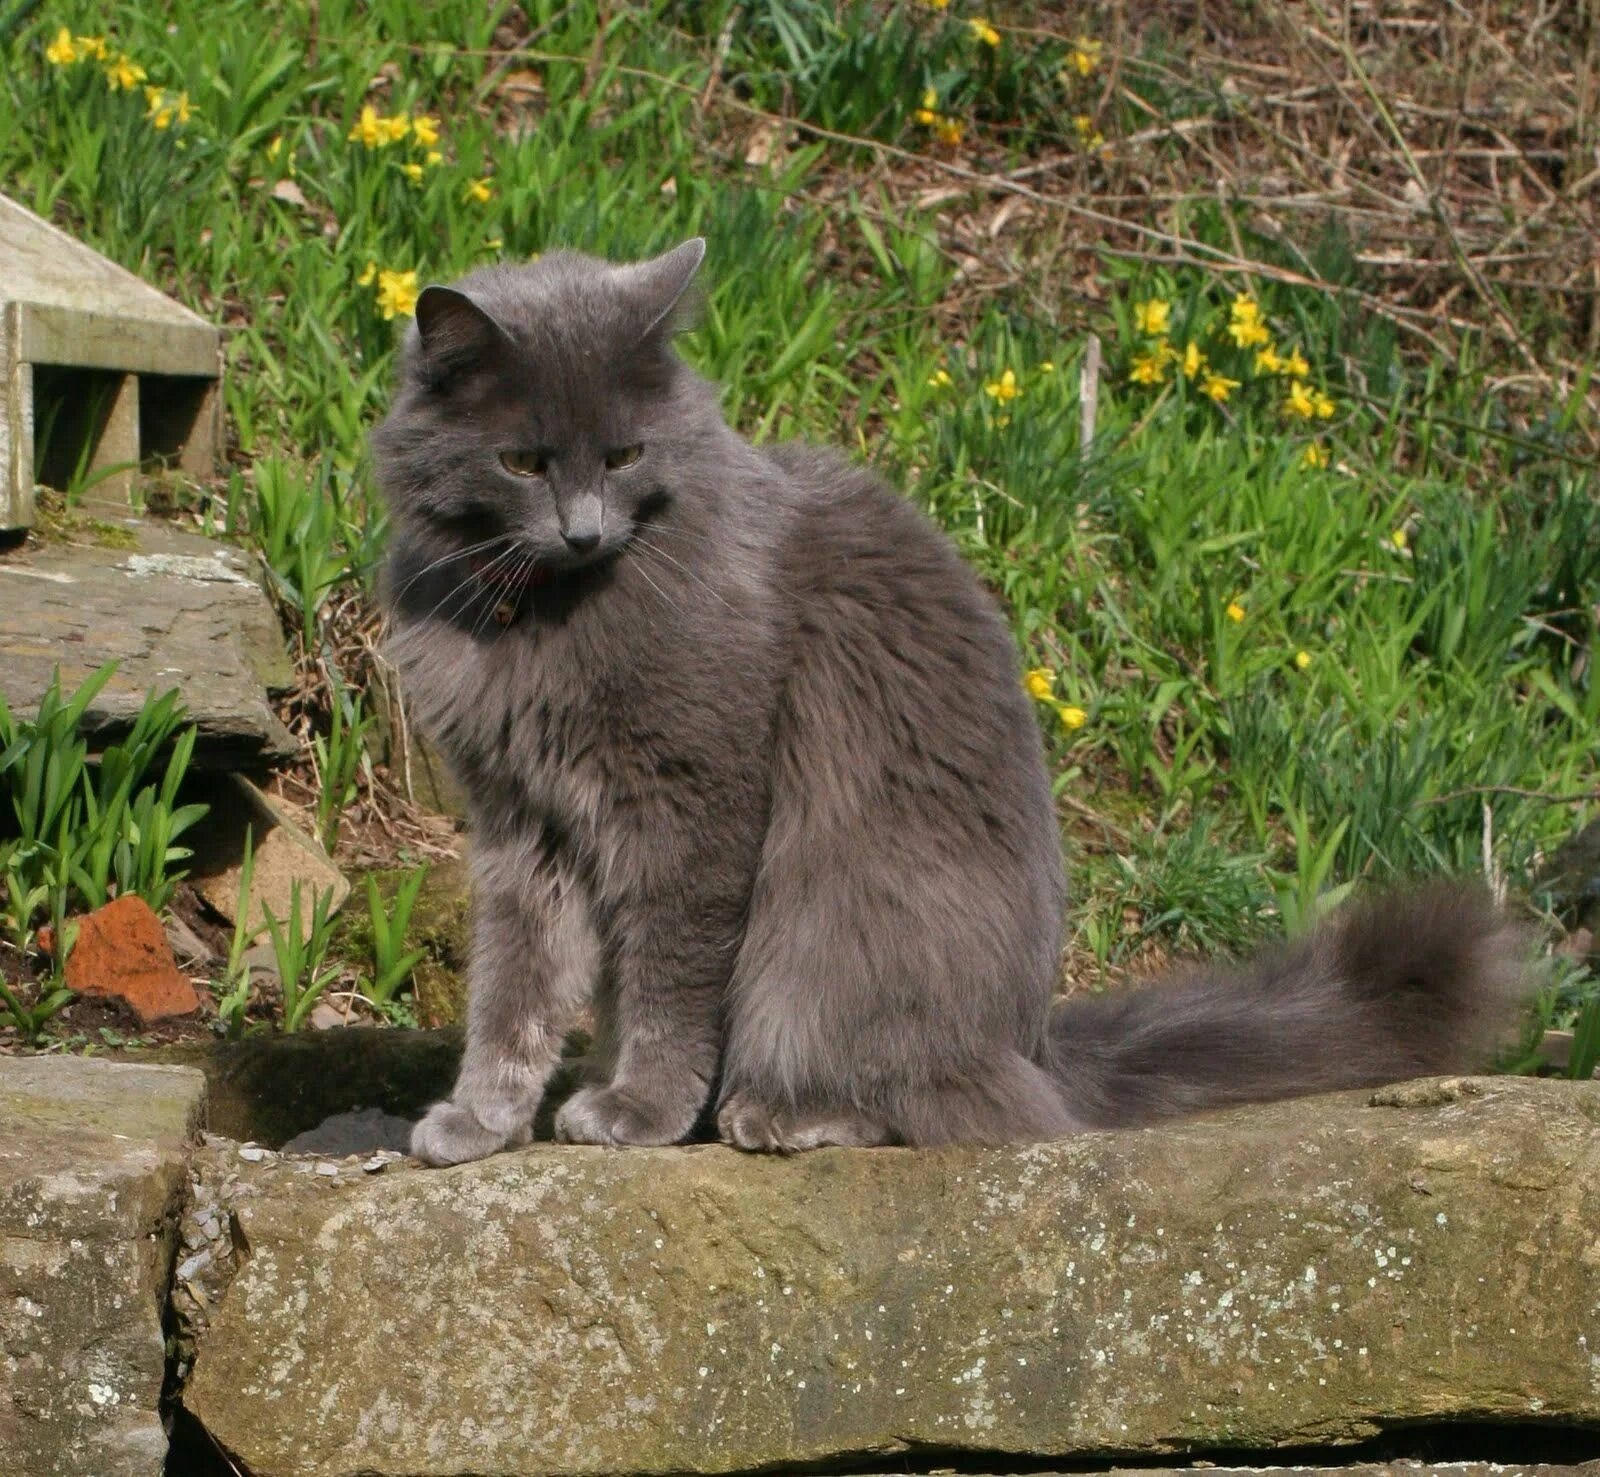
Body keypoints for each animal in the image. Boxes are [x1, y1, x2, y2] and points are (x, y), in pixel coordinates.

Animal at [371, 243, 1523, 1164]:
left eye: (623, 454)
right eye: (523, 461)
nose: (584, 530)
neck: (543, 617)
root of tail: (1036, 1043)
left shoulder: (693, 803)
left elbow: (669, 979)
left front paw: (639, 1111)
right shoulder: (521, 823)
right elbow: (513, 992)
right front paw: (478, 1123)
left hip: (839, 925)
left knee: (937, 1101)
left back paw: (779, 1115)